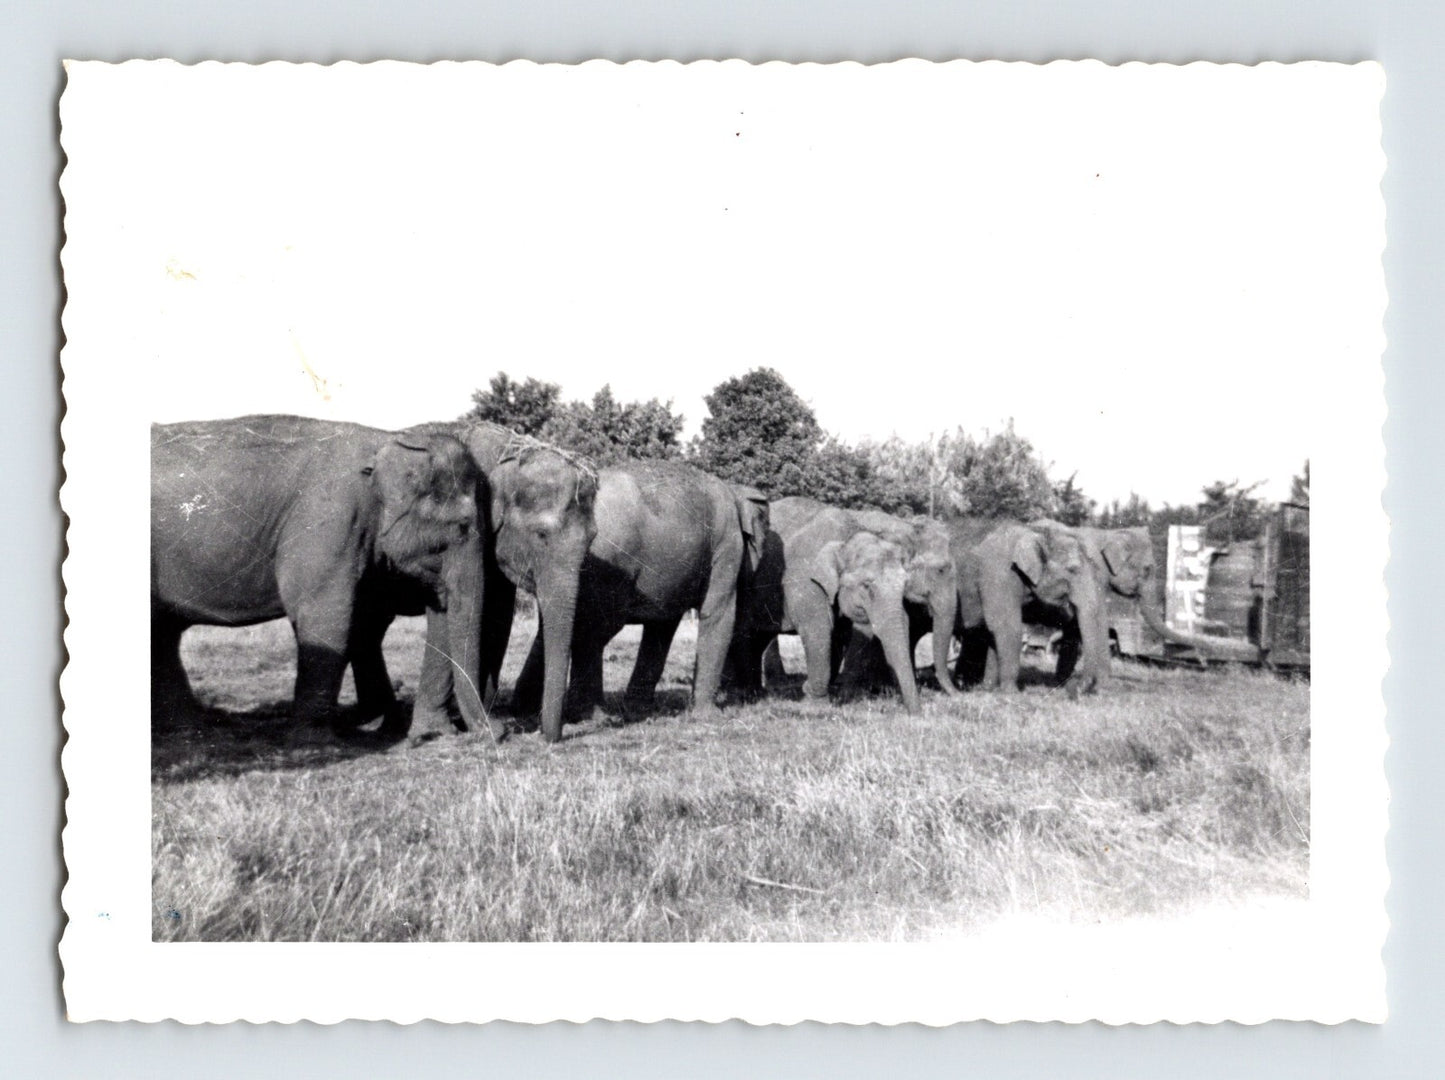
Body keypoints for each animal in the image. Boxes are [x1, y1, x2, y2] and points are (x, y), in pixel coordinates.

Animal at [150, 415, 486, 735]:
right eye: (463, 526)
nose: (493, 732)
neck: (388, 439)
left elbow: (363, 620)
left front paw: (377, 726)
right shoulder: (330, 521)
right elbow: (326, 616)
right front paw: (315, 740)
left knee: (164, 635)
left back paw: (189, 728)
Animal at [343, 420, 599, 744]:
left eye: (592, 539)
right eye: (541, 535)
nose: (545, 736)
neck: (510, 452)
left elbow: (498, 614)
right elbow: (489, 610)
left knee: (367, 629)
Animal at [511, 461, 768, 734]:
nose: (749, 696)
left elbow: (662, 627)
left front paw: (638, 710)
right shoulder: (727, 544)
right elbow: (718, 615)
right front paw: (710, 716)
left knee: (557, 629)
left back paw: (525, 708)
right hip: (608, 565)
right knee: (594, 632)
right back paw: (591, 717)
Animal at [735, 496, 921, 714]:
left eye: (905, 584)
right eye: (866, 586)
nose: (915, 713)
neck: (846, 538)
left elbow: (843, 634)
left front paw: (813, 693)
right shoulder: (805, 581)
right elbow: (819, 631)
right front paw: (815, 706)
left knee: (757, 638)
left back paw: (755, 694)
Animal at [948, 517, 1107, 695]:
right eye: (1072, 570)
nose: (1075, 688)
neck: (1034, 531)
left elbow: (992, 631)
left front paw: (987, 688)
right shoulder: (1000, 574)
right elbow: (1006, 627)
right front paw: (1012, 693)